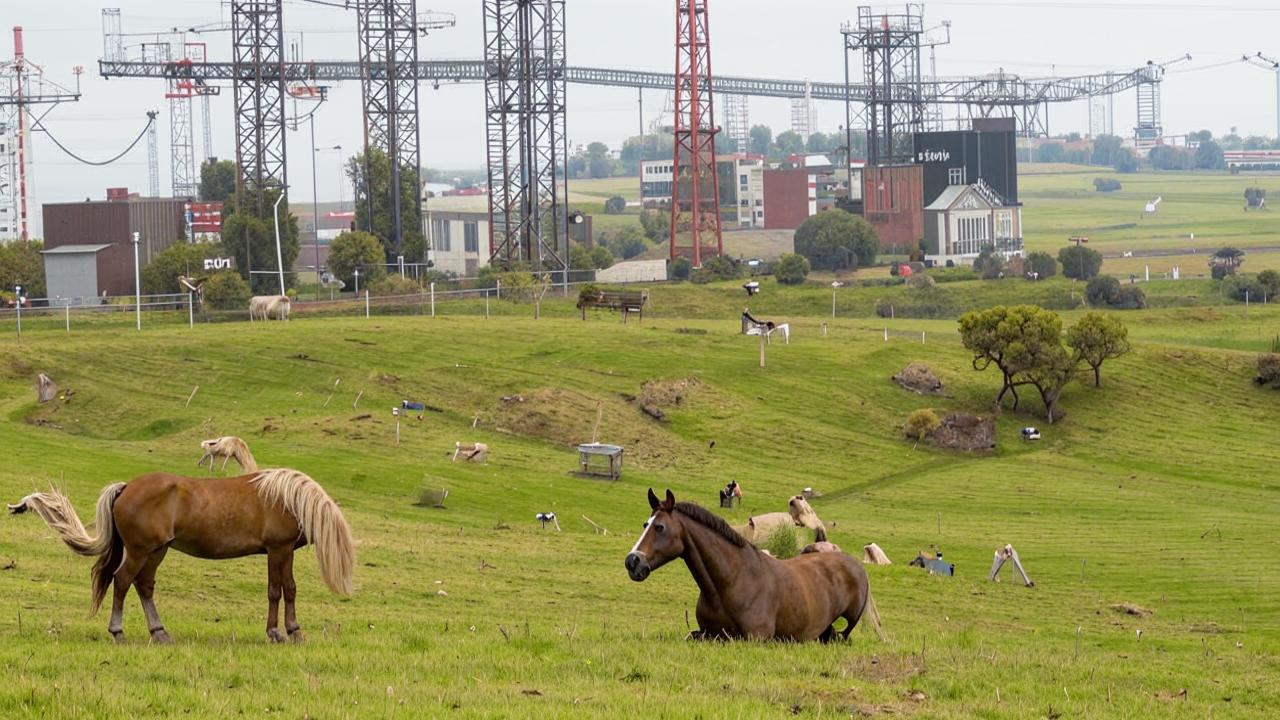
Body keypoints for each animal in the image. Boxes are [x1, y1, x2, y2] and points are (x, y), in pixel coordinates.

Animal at [7, 468, 355, 640]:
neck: (284, 497)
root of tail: (127, 487)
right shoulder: (278, 549)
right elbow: (277, 591)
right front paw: (279, 632)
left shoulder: (282, 552)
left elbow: (287, 589)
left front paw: (290, 630)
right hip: (140, 551)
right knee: (122, 582)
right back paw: (118, 632)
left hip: (157, 551)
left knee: (144, 586)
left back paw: (159, 632)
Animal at [624, 484, 885, 640]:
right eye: (645, 524)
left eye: (660, 527)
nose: (632, 562)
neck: (732, 581)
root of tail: (856, 566)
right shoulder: (706, 634)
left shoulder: (755, 638)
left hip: (847, 624)